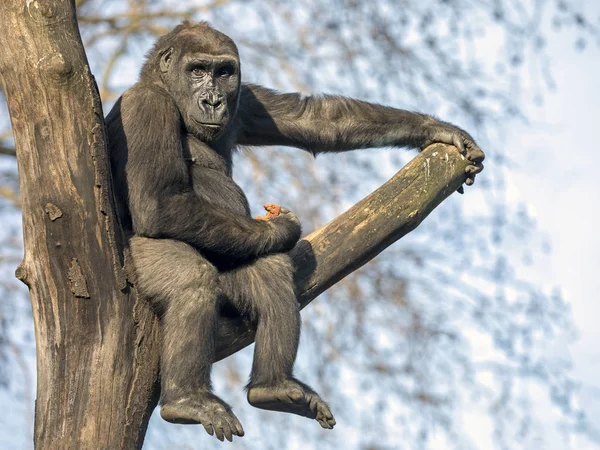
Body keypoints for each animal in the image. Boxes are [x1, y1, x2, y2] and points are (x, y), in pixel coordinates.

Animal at [105, 19, 486, 442]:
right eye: (197, 70)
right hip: (137, 261)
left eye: (224, 72)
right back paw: (186, 400)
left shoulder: (246, 99)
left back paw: (272, 387)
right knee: (192, 279)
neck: (165, 89)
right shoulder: (145, 108)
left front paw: (438, 129)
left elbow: (316, 120)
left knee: (268, 275)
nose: (214, 100)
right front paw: (281, 229)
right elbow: (160, 202)